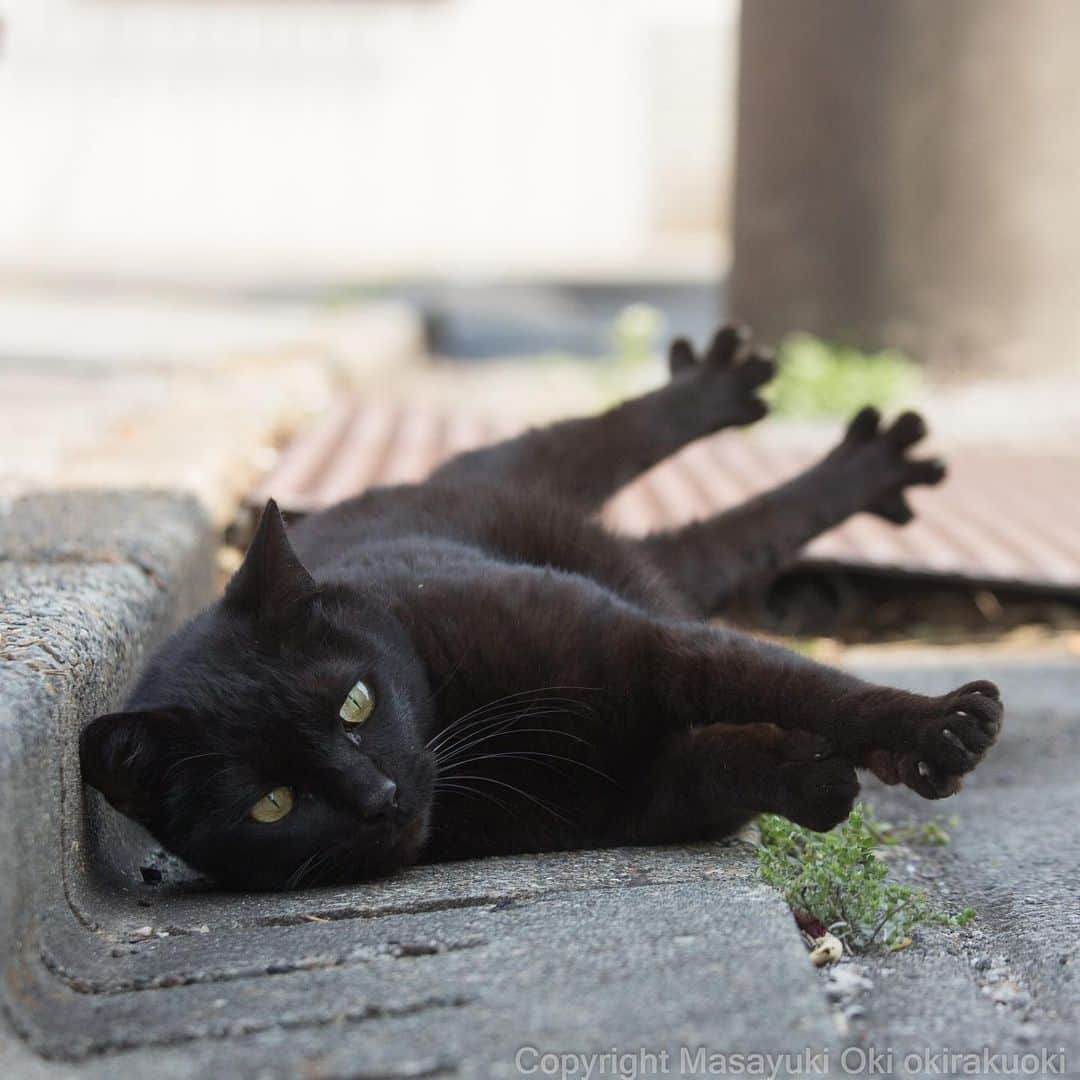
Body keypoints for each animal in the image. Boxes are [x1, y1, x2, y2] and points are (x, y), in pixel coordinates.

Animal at [82, 326, 1002, 885]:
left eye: (355, 703)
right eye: (271, 803)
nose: (379, 795)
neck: (464, 716)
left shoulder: (648, 648)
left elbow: (802, 684)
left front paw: (936, 726)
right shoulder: (627, 798)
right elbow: (724, 763)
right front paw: (816, 774)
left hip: (521, 468)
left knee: (611, 437)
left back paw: (761, 403)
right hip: (653, 563)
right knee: (726, 538)